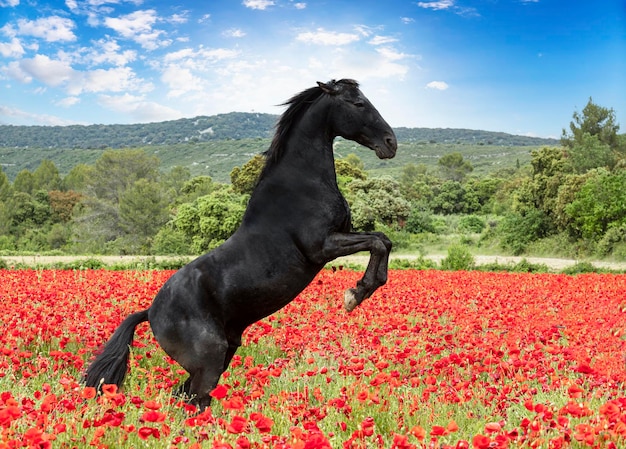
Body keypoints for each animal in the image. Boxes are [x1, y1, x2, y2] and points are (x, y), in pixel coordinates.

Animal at [84, 78, 394, 410]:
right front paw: (354, 295)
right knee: (195, 400)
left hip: (220, 357)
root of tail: (150, 313)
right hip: (209, 360)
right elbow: (377, 243)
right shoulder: (322, 246)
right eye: (358, 103)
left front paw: (362, 290)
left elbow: (383, 241)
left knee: (185, 396)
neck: (302, 185)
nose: (391, 142)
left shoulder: (339, 237)